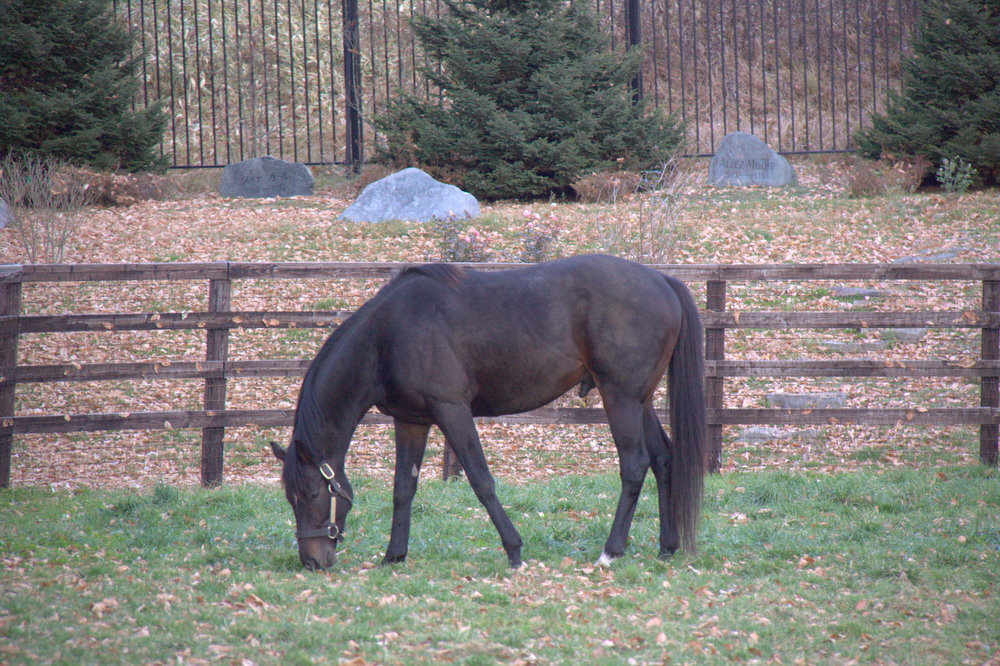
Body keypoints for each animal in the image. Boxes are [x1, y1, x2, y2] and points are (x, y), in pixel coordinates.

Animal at [272, 252, 712, 568]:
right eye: (289, 497)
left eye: (310, 492)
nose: (312, 561)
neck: (387, 336)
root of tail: (662, 280)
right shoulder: (412, 421)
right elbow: (403, 488)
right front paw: (394, 556)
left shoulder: (451, 410)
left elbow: (481, 481)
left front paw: (514, 550)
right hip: (640, 399)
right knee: (663, 458)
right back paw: (667, 547)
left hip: (620, 397)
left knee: (634, 465)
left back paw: (611, 551)